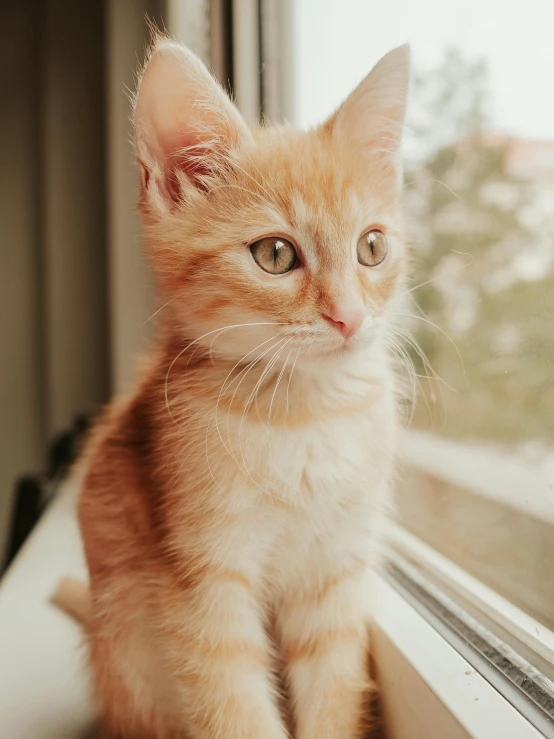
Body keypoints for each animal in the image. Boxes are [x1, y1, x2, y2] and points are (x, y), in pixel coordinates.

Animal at [69, 31, 408, 736]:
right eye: (275, 255)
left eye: (371, 247)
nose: (350, 316)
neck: (305, 416)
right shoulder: (201, 580)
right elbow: (232, 704)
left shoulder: (336, 571)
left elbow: (333, 682)